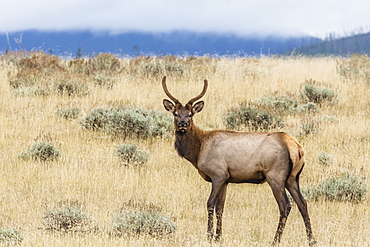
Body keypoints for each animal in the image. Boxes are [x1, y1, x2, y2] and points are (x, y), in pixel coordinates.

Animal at [160, 76, 316, 246]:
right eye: (176, 113)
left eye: (190, 114)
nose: (182, 124)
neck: (198, 150)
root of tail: (296, 147)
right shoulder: (226, 179)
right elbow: (221, 207)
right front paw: (218, 236)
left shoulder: (218, 174)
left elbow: (210, 204)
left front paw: (209, 236)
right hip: (292, 178)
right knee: (302, 203)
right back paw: (311, 240)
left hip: (276, 176)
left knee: (285, 205)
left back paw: (275, 240)